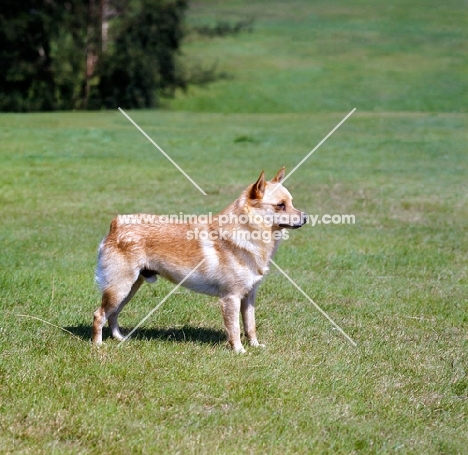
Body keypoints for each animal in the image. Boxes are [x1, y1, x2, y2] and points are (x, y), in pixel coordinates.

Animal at [93, 167, 308, 352]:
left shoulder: (249, 297)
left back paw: (119, 338)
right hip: (119, 288)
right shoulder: (231, 298)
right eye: (280, 206)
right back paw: (98, 344)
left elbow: (250, 325)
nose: (305, 217)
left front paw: (255, 346)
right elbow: (235, 329)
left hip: (129, 289)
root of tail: (116, 224)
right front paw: (239, 350)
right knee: (99, 315)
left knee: (112, 315)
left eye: (292, 202)